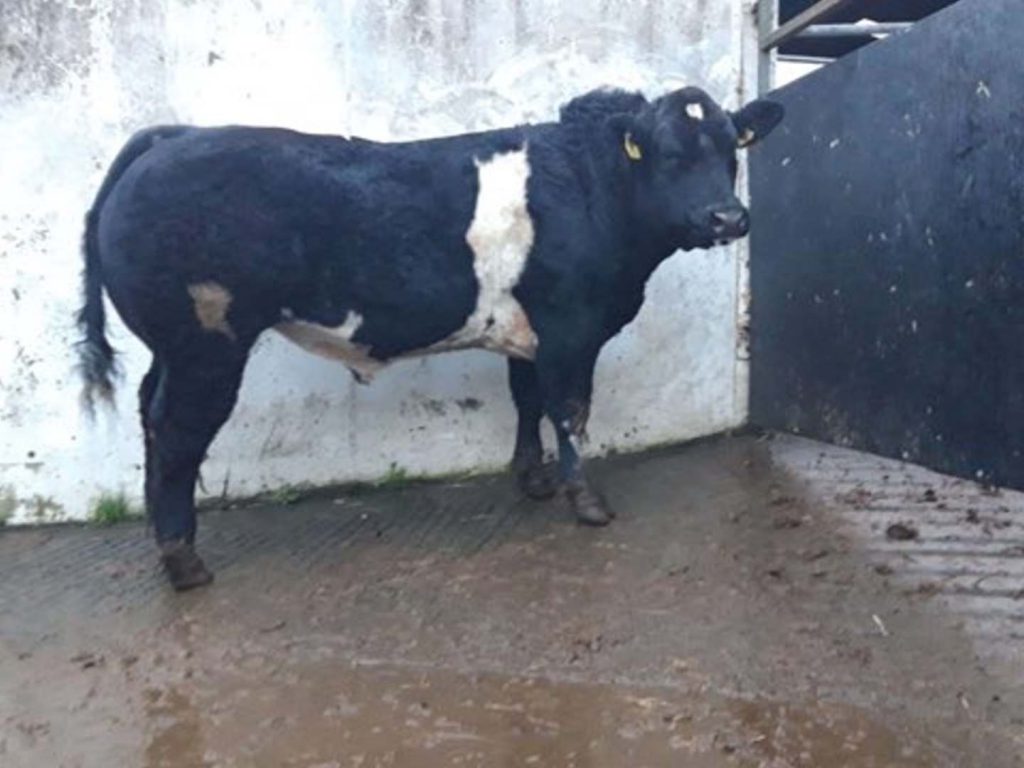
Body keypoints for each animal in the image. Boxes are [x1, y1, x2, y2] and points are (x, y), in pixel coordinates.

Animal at [76, 85, 783, 590]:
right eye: (668, 152)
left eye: (732, 149)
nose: (728, 217)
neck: (592, 189)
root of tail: (175, 135)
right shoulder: (571, 328)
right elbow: (570, 410)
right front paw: (586, 502)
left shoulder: (528, 330)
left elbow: (528, 400)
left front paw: (532, 480)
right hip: (206, 344)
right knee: (177, 430)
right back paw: (183, 560)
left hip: (172, 348)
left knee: (148, 411)